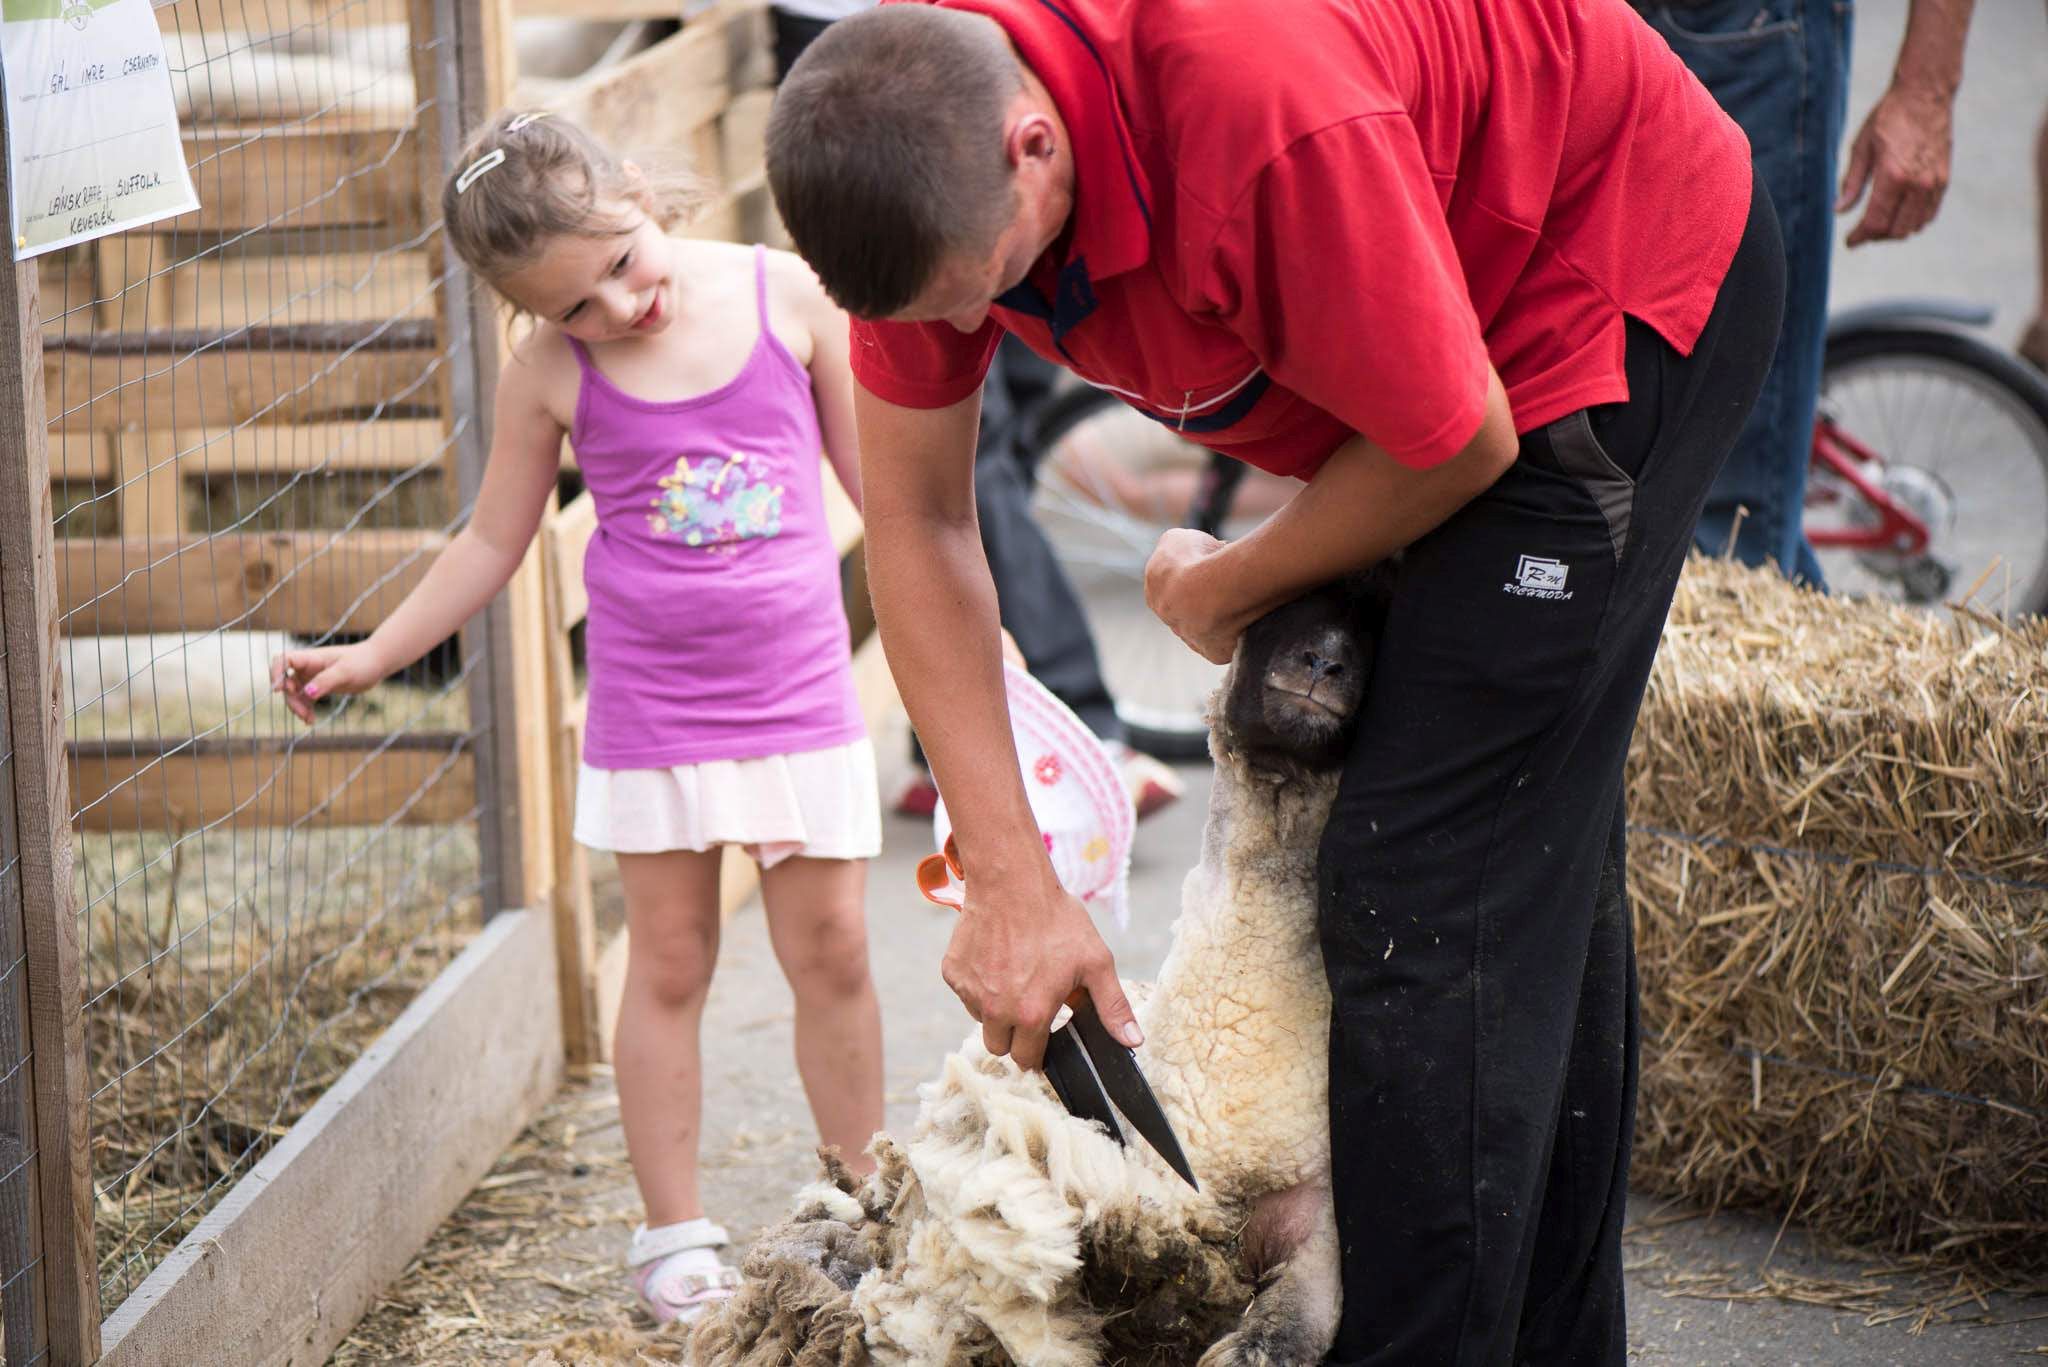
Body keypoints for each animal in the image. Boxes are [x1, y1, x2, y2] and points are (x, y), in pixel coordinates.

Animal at [692, 577, 1392, 1367]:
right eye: (1267, 617)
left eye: (1372, 627)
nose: (1323, 663)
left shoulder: (1315, 1229)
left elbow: (1291, 1327)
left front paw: (1236, 1342)